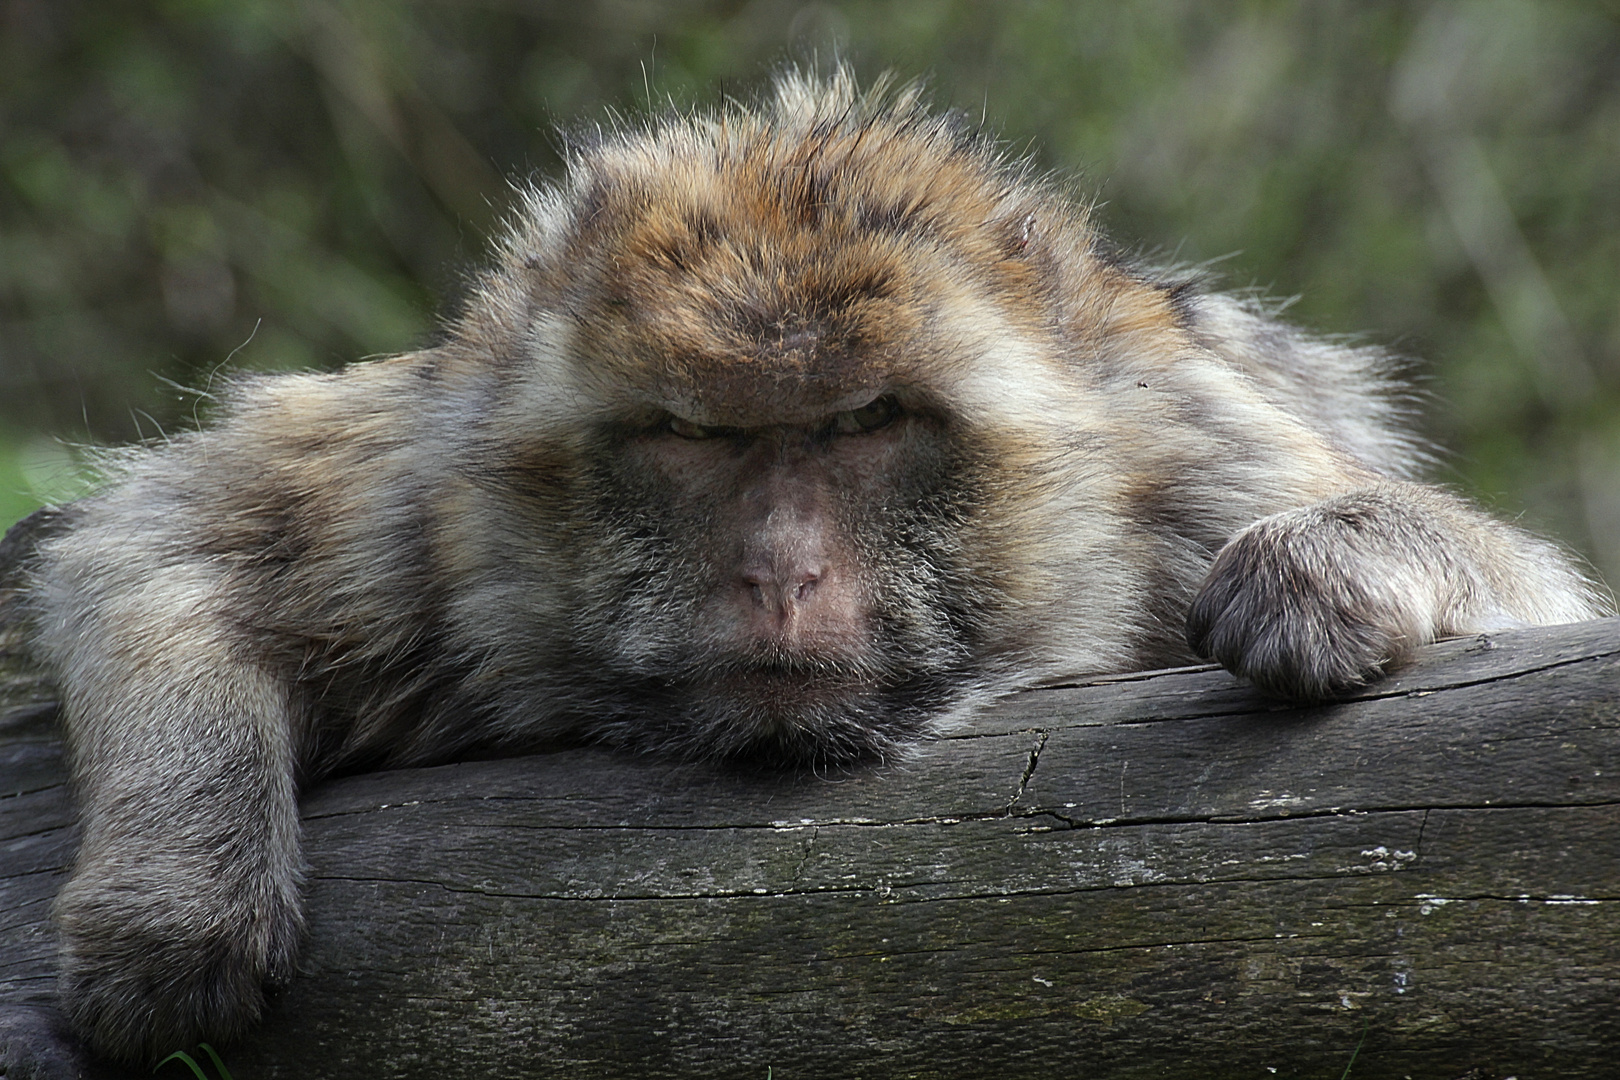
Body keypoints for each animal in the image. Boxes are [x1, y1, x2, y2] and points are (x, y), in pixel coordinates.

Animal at [19, 65, 1613, 1062]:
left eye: (864, 424)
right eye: (692, 437)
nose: (779, 572)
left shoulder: (1195, 465)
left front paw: (1340, 562)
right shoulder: (433, 502)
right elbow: (156, 541)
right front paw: (175, 895)